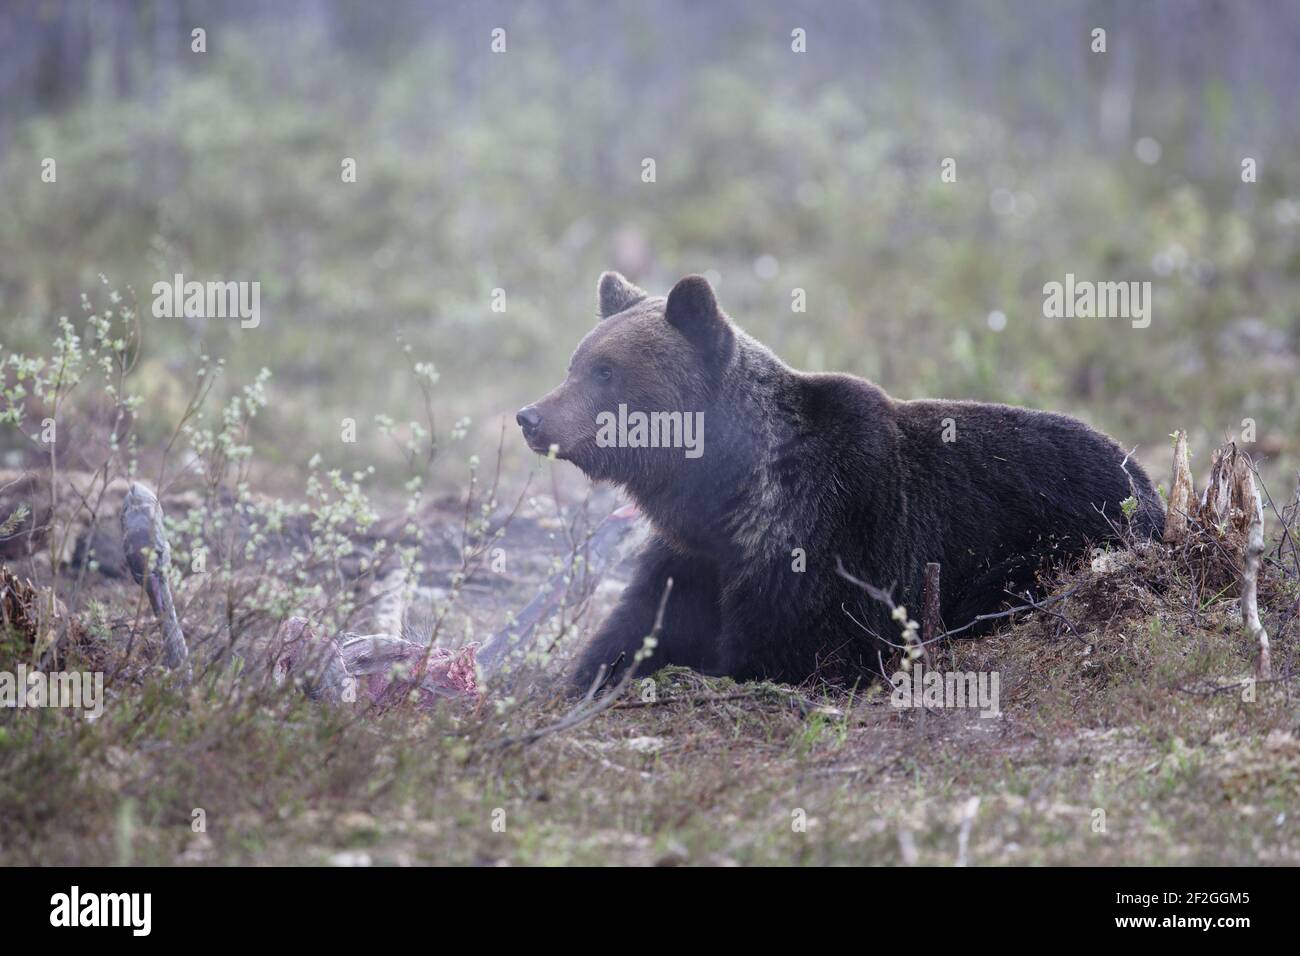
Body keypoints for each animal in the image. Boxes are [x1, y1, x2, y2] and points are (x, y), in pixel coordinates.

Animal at [517, 272, 1165, 691]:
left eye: (606, 371)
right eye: (577, 363)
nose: (531, 416)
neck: (731, 494)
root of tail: (1148, 483)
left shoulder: (831, 537)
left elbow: (799, 651)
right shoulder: (695, 557)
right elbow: (638, 628)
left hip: (1060, 541)